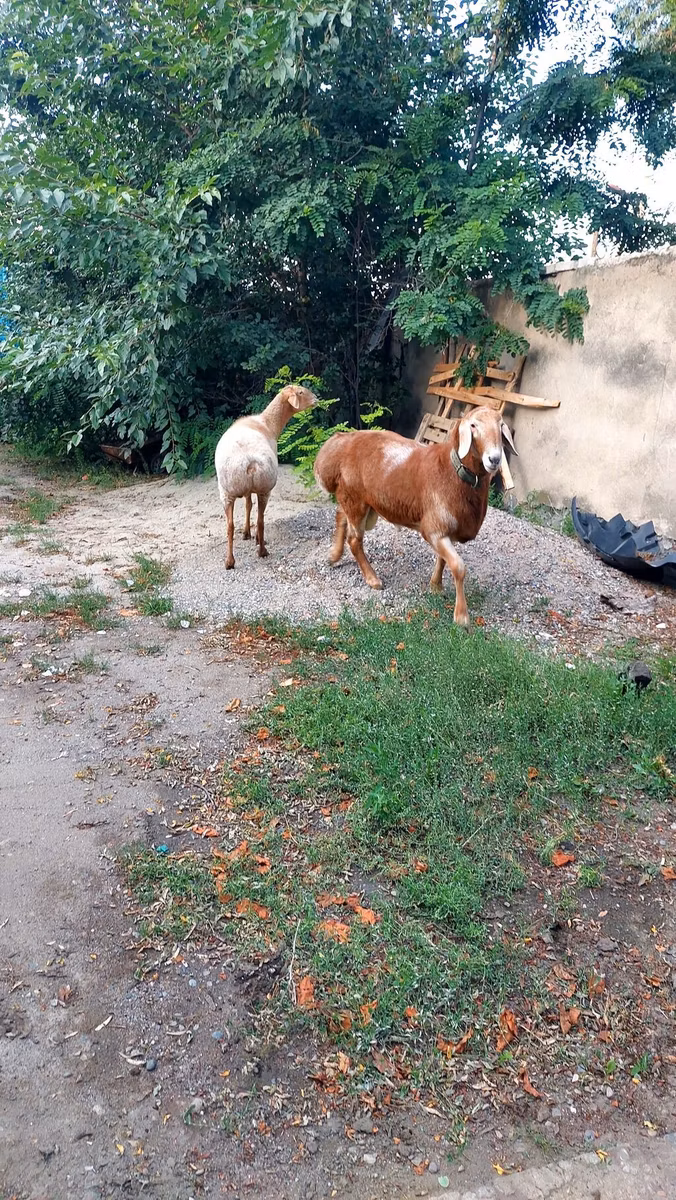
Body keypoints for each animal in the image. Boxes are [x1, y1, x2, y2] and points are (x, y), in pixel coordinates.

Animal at [215, 384, 317, 569]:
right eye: (300, 392)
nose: (316, 399)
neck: (268, 423)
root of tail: (249, 462)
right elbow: (251, 508)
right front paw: (251, 535)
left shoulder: (248, 490)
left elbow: (248, 505)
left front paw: (246, 533)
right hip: (265, 486)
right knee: (261, 520)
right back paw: (262, 551)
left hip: (227, 491)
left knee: (230, 526)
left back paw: (230, 561)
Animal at [313, 405, 517, 627]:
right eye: (473, 425)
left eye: (500, 425)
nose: (494, 459)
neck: (453, 472)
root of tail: (339, 444)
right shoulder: (433, 529)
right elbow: (458, 567)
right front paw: (461, 616)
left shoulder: (446, 531)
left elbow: (442, 560)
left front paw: (436, 587)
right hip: (356, 500)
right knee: (354, 539)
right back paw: (373, 579)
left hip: (353, 499)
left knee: (340, 515)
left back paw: (334, 555)